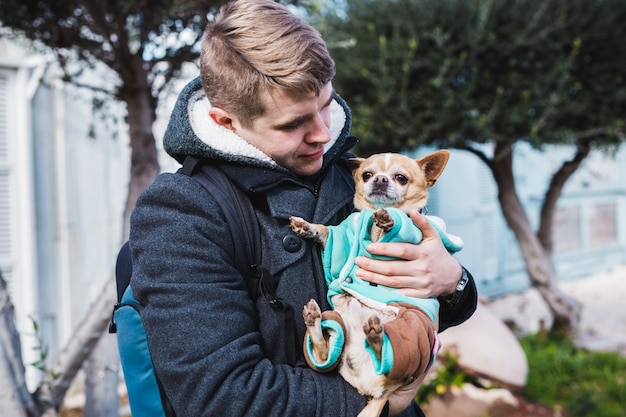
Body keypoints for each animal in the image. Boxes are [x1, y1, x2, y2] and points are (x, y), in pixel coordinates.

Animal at [290, 150, 460, 416]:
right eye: (367, 175)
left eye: (401, 178)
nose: (379, 179)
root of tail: (376, 392)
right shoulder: (340, 237)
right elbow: (325, 231)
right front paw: (306, 226)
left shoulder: (416, 234)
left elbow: (396, 227)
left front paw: (388, 220)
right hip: (337, 330)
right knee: (323, 350)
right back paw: (315, 321)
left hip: (413, 329)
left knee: (390, 356)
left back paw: (376, 337)